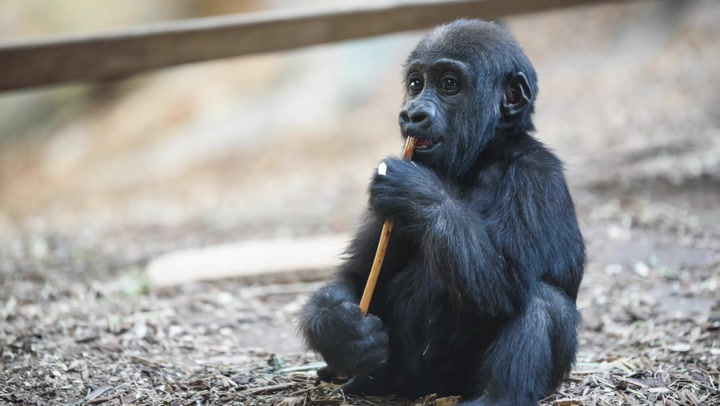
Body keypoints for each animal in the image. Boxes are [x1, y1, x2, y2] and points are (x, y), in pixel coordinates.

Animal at [298, 19, 584, 406]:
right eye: (415, 84)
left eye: (450, 84)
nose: (412, 113)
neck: (481, 158)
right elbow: (356, 275)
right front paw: (343, 332)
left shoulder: (536, 176)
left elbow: (506, 282)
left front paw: (414, 191)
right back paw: (362, 380)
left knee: (543, 301)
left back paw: (497, 396)